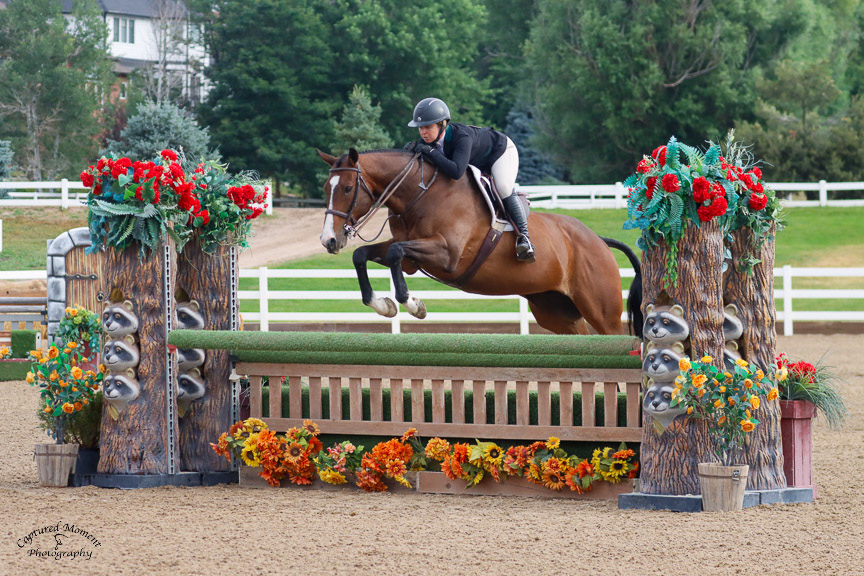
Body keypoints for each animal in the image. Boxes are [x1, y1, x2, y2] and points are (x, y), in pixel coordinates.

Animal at [317, 147, 643, 337]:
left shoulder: (447, 255)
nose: (329, 240)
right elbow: (363, 255)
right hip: (557, 312)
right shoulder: (411, 258)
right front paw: (383, 306)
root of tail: (598, 241)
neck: (420, 194)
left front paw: (413, 304)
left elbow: (396, 253)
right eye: (325, 188)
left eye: (347, 188)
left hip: (603, 313)